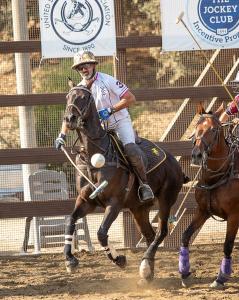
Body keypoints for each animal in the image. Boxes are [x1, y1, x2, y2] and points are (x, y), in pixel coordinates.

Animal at [62, 85, 188, 284]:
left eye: (83, 97)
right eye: (68, 97)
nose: (69, 119)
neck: (93, 157)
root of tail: (175, 164)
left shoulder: (114, 203)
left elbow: (101, 233)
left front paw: (119, 259)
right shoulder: (86, 201)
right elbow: (70, 220)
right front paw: (70, 260)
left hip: (166, 199)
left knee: (161, 232)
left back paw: (145, 267)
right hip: (139, 208)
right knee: (150, 234)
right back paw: (148, 273)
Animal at [179, 103, 239, 288]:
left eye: (213, 130)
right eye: (196, 127)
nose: (196, 155)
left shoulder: (234, 216)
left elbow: (227, 245)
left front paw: (221, 278)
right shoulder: (203, 211)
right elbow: (185, 236)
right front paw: (185, 273)